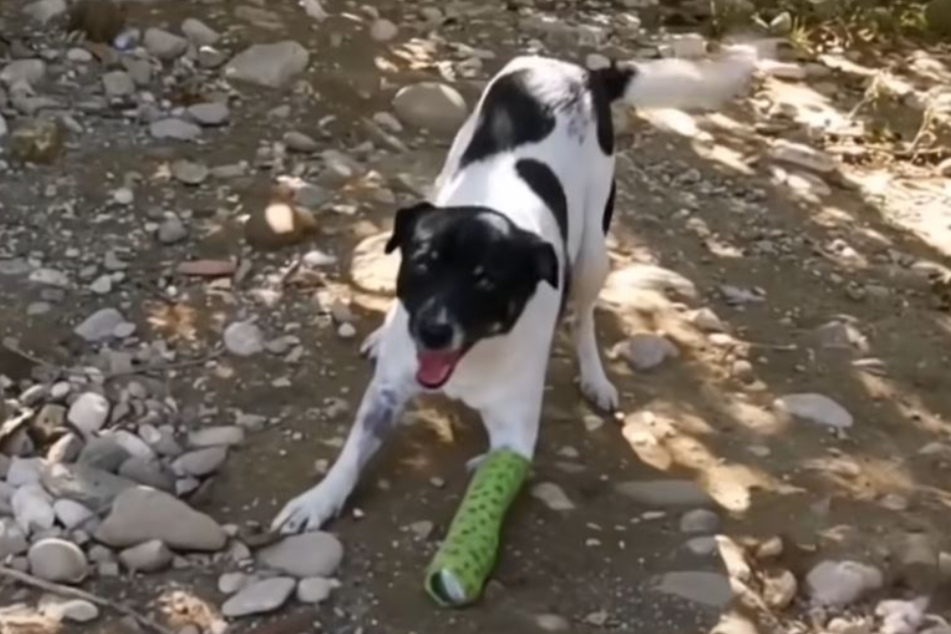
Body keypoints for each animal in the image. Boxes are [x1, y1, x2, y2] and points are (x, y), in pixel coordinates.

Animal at [272, 51, 756, 532]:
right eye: (423, 263)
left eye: (485, 279)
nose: (431, 332)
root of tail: (580, 71)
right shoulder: (387, 392)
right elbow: (352, 452)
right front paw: (319, 499)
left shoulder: (514, 431)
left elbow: (494, 470)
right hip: (447, 171)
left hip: (593, 254)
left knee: (584, 318)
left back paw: (595, 378)